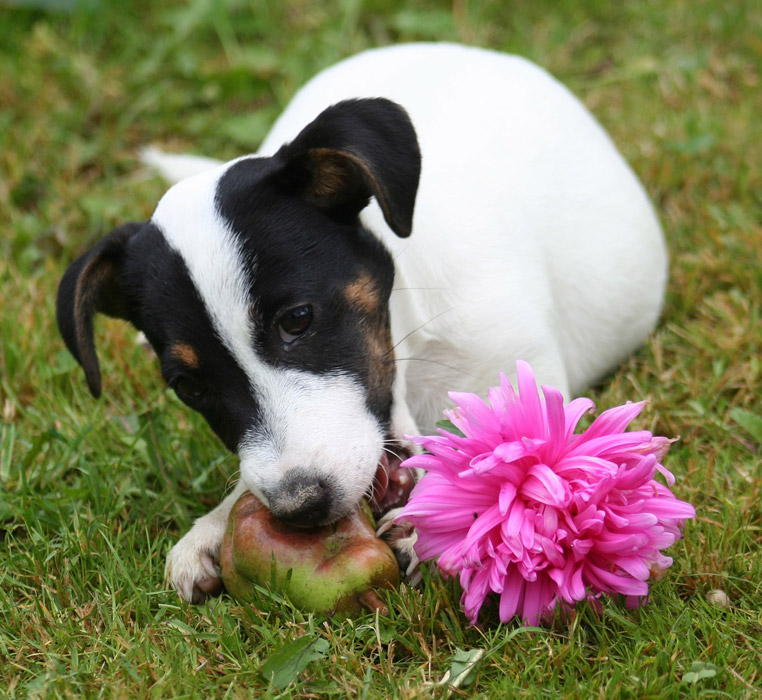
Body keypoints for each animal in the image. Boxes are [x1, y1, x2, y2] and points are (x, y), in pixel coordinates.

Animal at [55, 42, 664, 600]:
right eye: (189, 387)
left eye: (298, 320)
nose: (301, 507)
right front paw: (213, 524)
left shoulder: (525, 379)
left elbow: (506, 467)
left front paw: (437, 523)